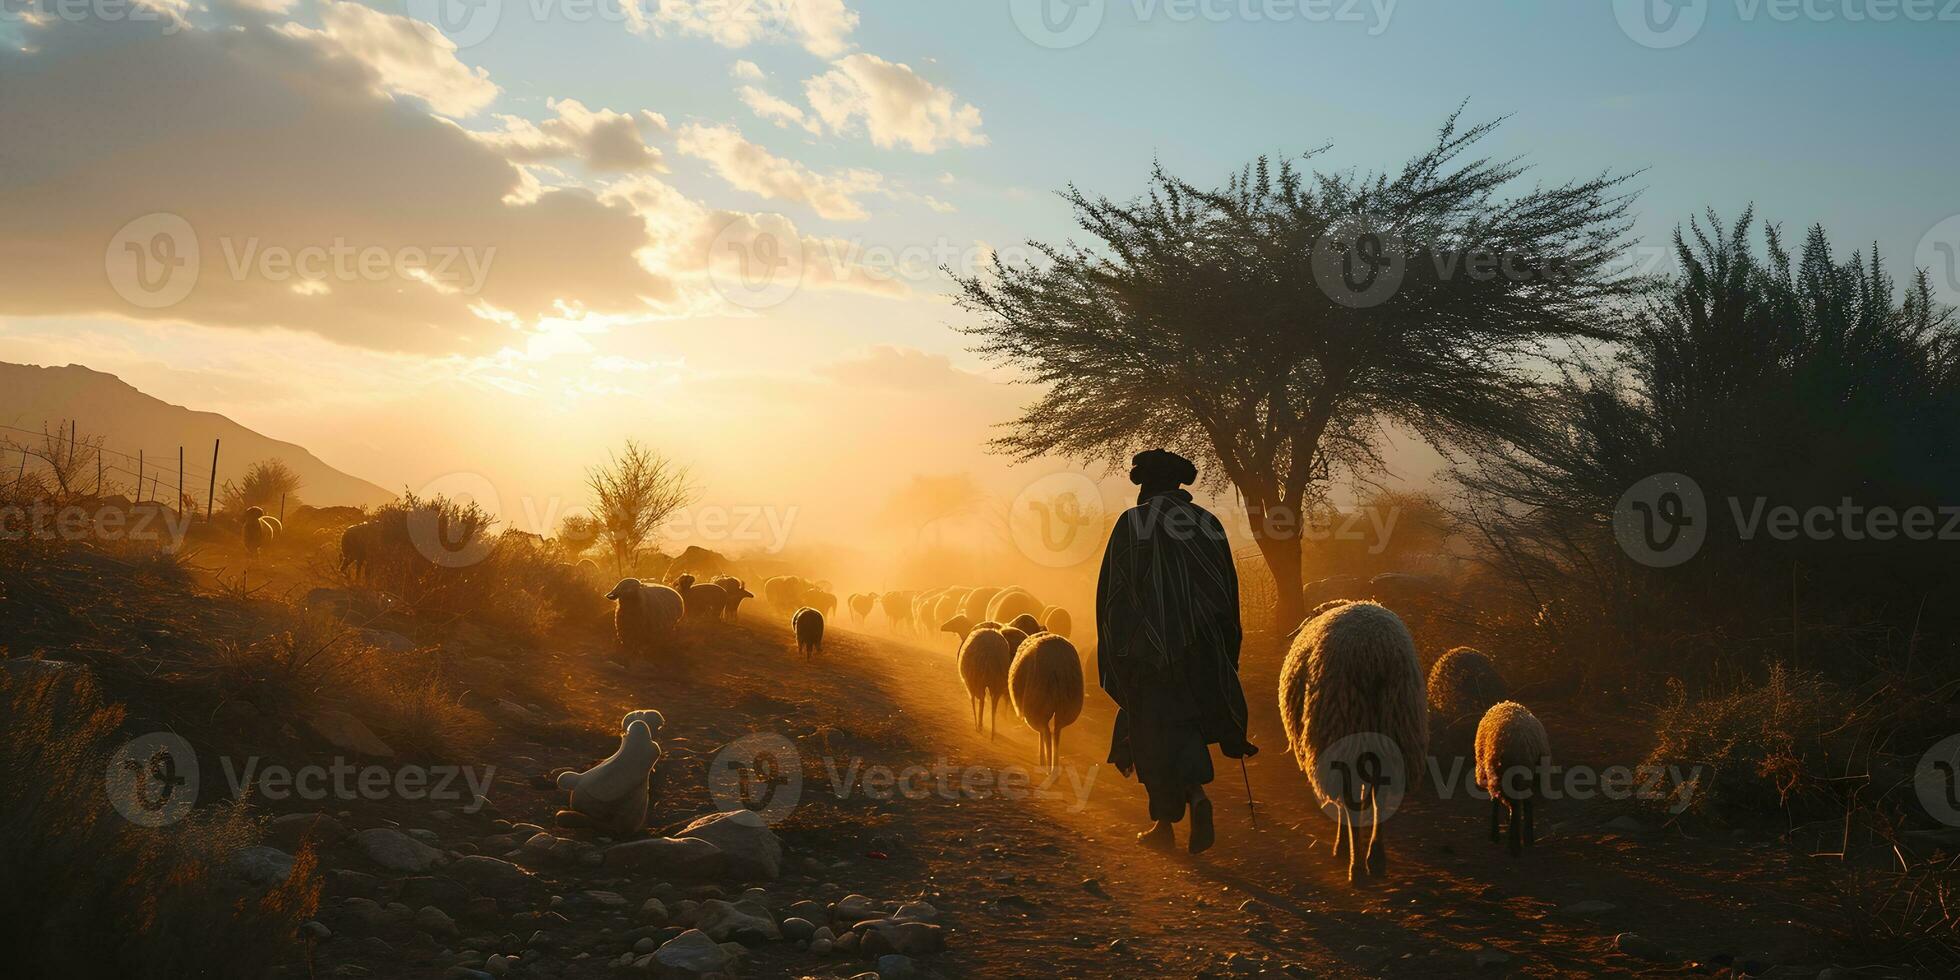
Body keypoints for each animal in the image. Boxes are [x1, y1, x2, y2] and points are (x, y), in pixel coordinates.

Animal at [1011, 631, 1089, 768]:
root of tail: (1056, 662)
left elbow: (1041, 733)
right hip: (1066, 707)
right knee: (1056, 733)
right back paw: (1054, 767)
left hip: (1037, 703)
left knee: (1046, 732)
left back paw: (1047, 765)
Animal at [1270, 599, 1426, 885]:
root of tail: (1374, 652)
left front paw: (1342, 846)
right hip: (1393, 729)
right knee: (1380, 797)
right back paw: (1375, 857)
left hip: (1342, 728)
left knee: (1351, 802)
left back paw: (1356, 865)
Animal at [1473, 701, 1552, 854]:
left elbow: (1495, 802)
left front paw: (1495, 835)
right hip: (1531, 776)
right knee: (1527, 803)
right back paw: (1527, 839)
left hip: (1510, 776)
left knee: (1514, 806)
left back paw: (1514, 845)